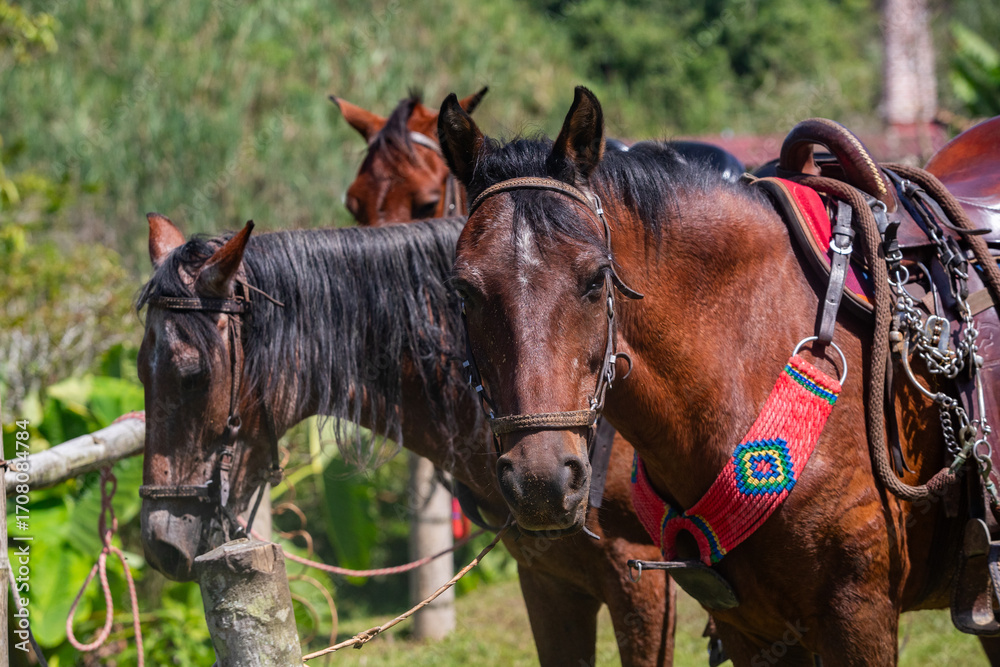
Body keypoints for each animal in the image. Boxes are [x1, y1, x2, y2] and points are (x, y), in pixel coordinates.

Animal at [439, 86, 1000, 664]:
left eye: (596, 279)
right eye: (462, 290)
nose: (540, 482)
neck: (749, 357)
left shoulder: (859, 614)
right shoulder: (752, 630)